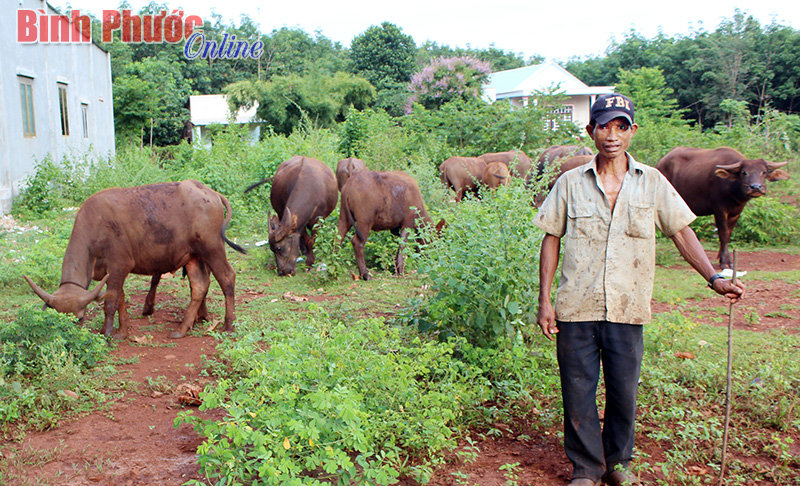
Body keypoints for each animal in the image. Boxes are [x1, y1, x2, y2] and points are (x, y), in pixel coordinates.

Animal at [24, 180, 244, 340]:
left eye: (79, 319)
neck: (96, 228)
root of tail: (211, 193)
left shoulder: (119, 266)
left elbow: (110, 302)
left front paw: (107, 333)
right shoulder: (113, 272)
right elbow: (120, 299)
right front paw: (121, 331)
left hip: (212, 248)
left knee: (227, 278)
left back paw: (228, 325)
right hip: (194, 256)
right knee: (200, 285)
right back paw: (183, 328)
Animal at [660, 147, 792, 270]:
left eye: (763, 172)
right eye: (744, 172)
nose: (755, 187)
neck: (733, 190)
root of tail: (662, 161)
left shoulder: (737, 212)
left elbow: (728, 234)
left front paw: (722, 256)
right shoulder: (720, 209)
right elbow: (723, 233)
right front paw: (726, 261)